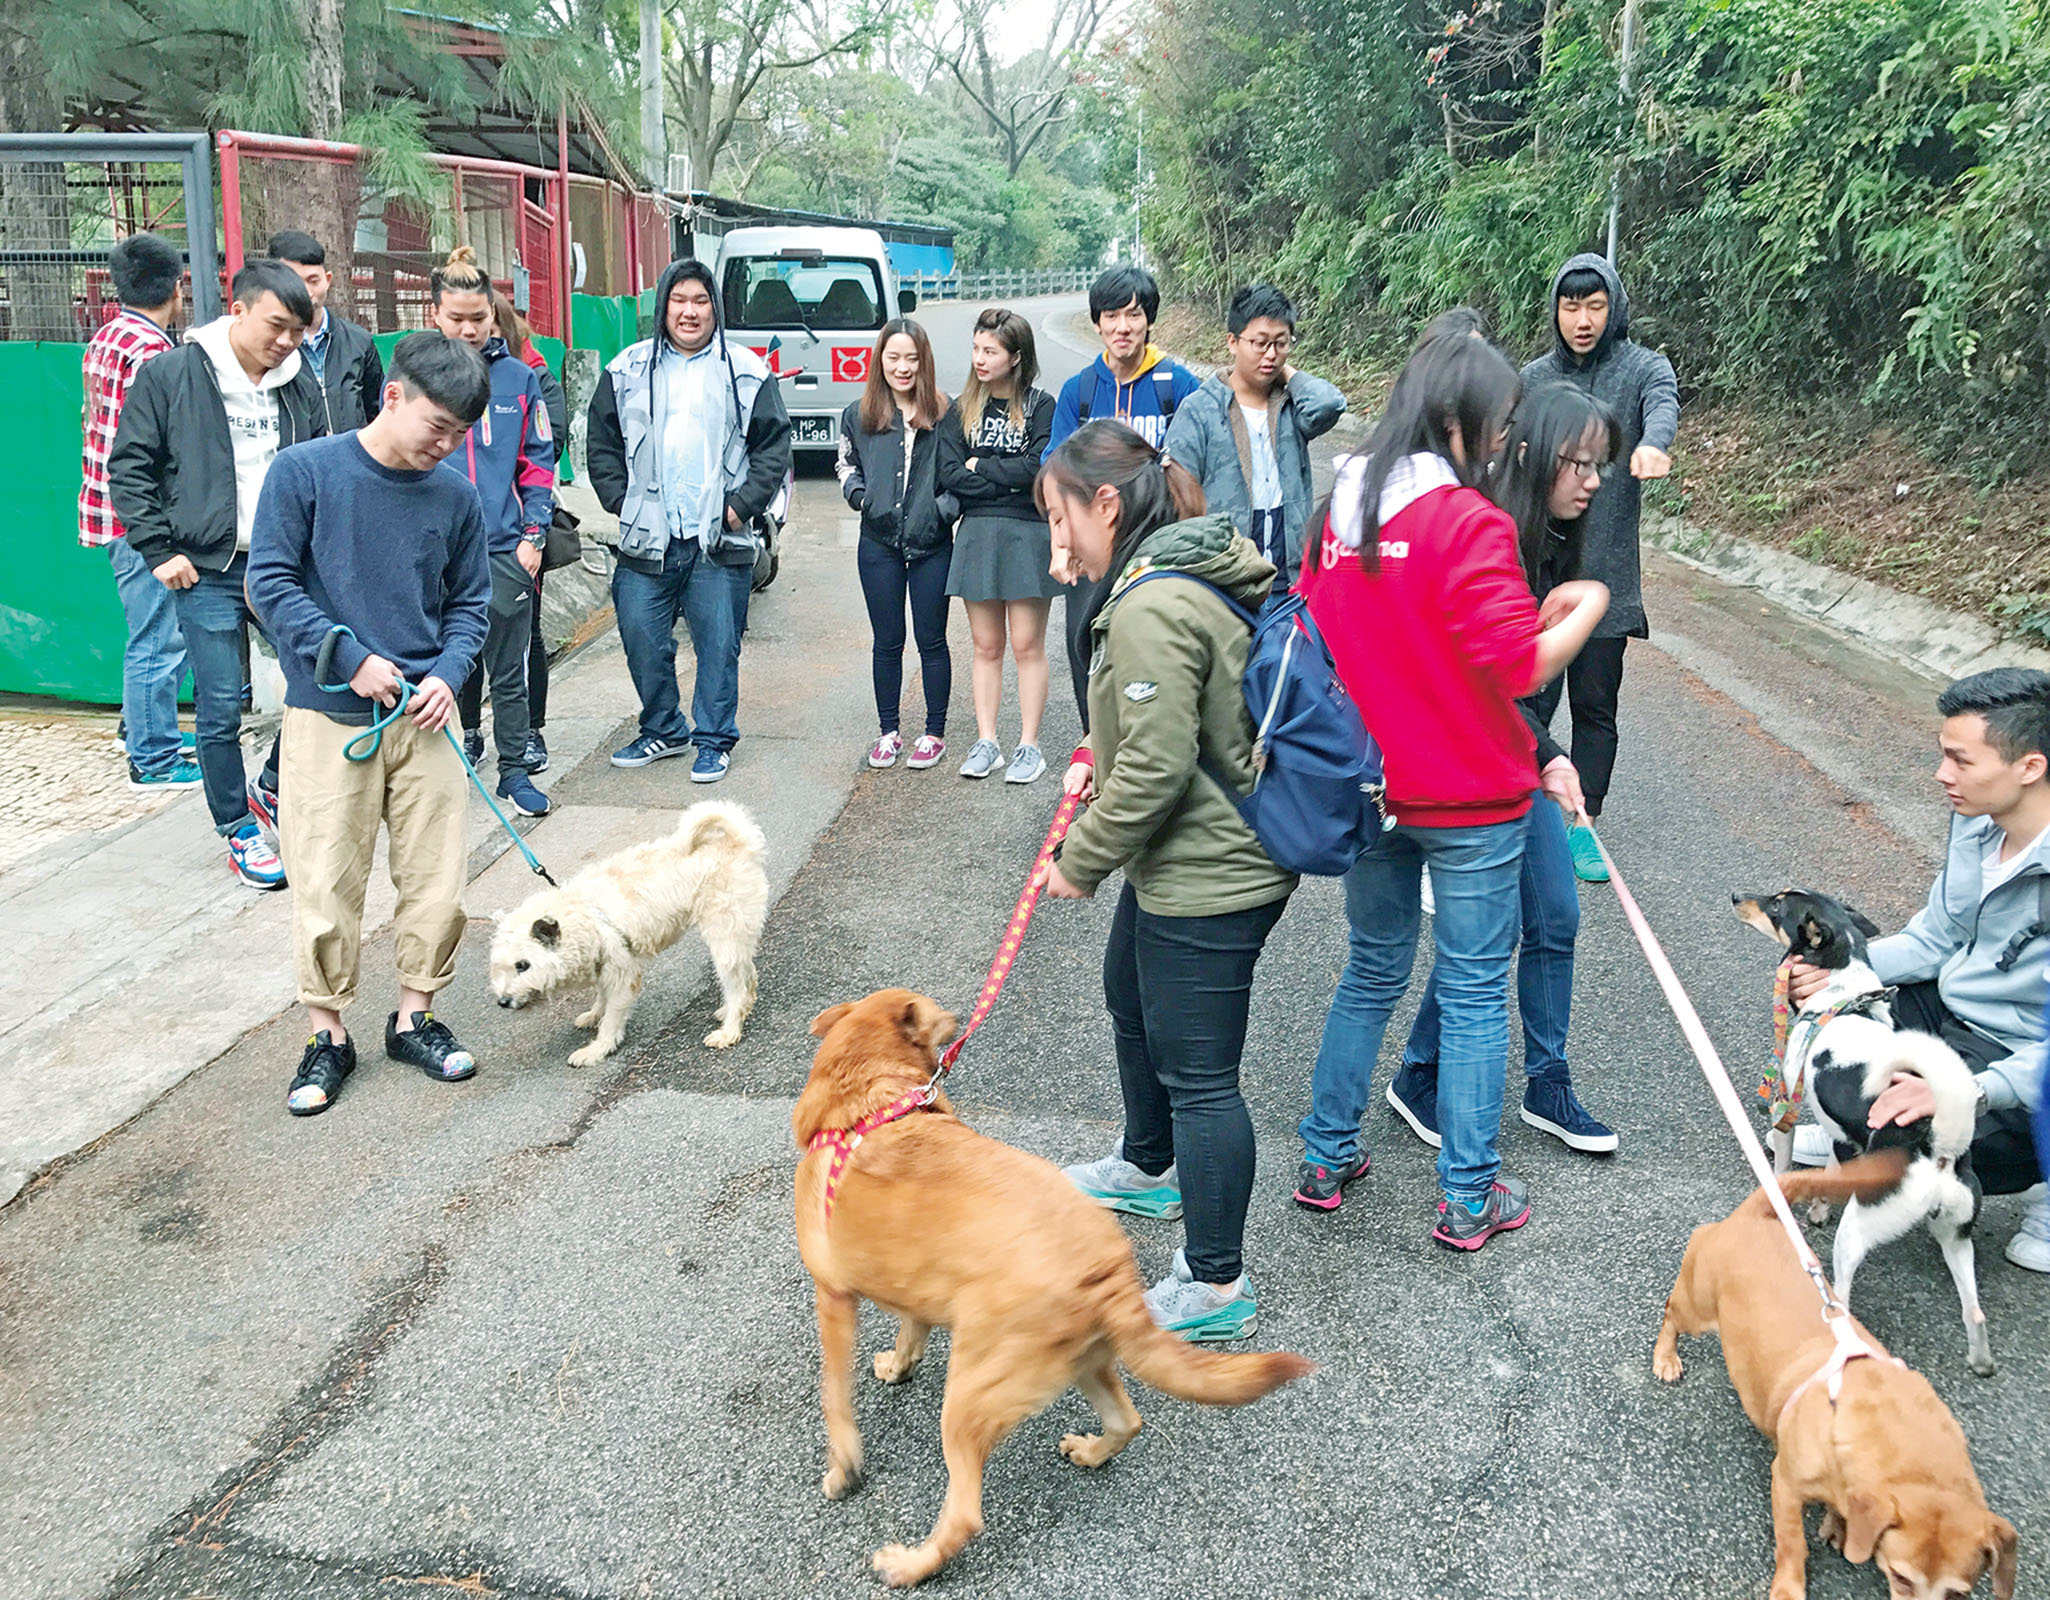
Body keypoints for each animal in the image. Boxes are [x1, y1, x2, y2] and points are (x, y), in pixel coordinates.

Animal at [487, 800, 770, 1074]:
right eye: (500, 967)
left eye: (523, 965)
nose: (503, 1001)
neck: (582, 915)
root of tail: (737, 840)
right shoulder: (603, 967)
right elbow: (601, 997)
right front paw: (594, 1014)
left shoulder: (623, 976)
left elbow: (611, 1019)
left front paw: (596, 1049)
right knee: (748, 976)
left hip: (724, 938)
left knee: (737, 985)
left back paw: (729, 1030)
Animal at [791, 988, 1303, 1583]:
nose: (959, 1018)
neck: (868, 1102)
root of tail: (1108, 1265)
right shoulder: (915, 1288)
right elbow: (909, 1333)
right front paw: (898, 1368)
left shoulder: (832, 1298)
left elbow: (834, 1397)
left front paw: (844, 1466)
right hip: (1083, 1361)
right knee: (1129, 1421)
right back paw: (1091, 1453)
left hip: (970, 1395)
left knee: (965, 1515)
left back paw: (911, 1566)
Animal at [1656, 1165, 2009, 1600]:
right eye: (1900, 1576)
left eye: (1959, 1592)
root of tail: (1752, 1215)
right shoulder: (1785, 1485)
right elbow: (1793, 1544)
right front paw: (1790, 1586)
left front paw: (1837, 1527)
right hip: (1696, 1308)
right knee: (1671, 1315)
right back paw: (1665, 1358)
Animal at [1730, 886, 1984, 1378]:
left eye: (1777, 905)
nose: (1735, 896)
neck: (1842, 994)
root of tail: (1939, 1149)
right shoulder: (1844, 1137)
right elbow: (1830, 1173)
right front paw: (1816, 1210)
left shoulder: (1787, 1104)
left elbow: (1783, 1163)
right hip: (1956, 1237)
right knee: (1974, 1310)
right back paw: (1981, 1361)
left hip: (1857, 1232)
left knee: (1842, 1299)